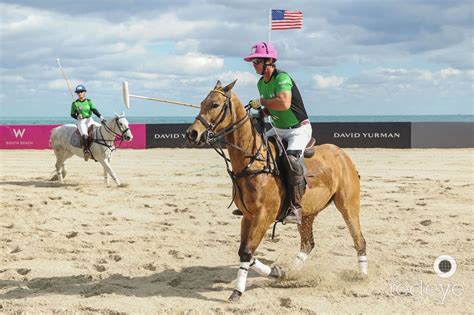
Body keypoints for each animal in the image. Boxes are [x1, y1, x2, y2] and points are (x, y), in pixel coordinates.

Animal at [186, 80, 366, 302]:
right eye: (202, 103)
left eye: (215, 105)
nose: (192, 134)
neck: (252, 161)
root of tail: (343, 154)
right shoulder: (248, 216)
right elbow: (245, 251)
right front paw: (277, 272)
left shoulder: (264, 215)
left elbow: (246, 252)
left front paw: (237, 291)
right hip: (307, 212)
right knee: (308, 243)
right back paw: (290, 272)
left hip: (348, 204)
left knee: (358, 239)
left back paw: (363, 275)